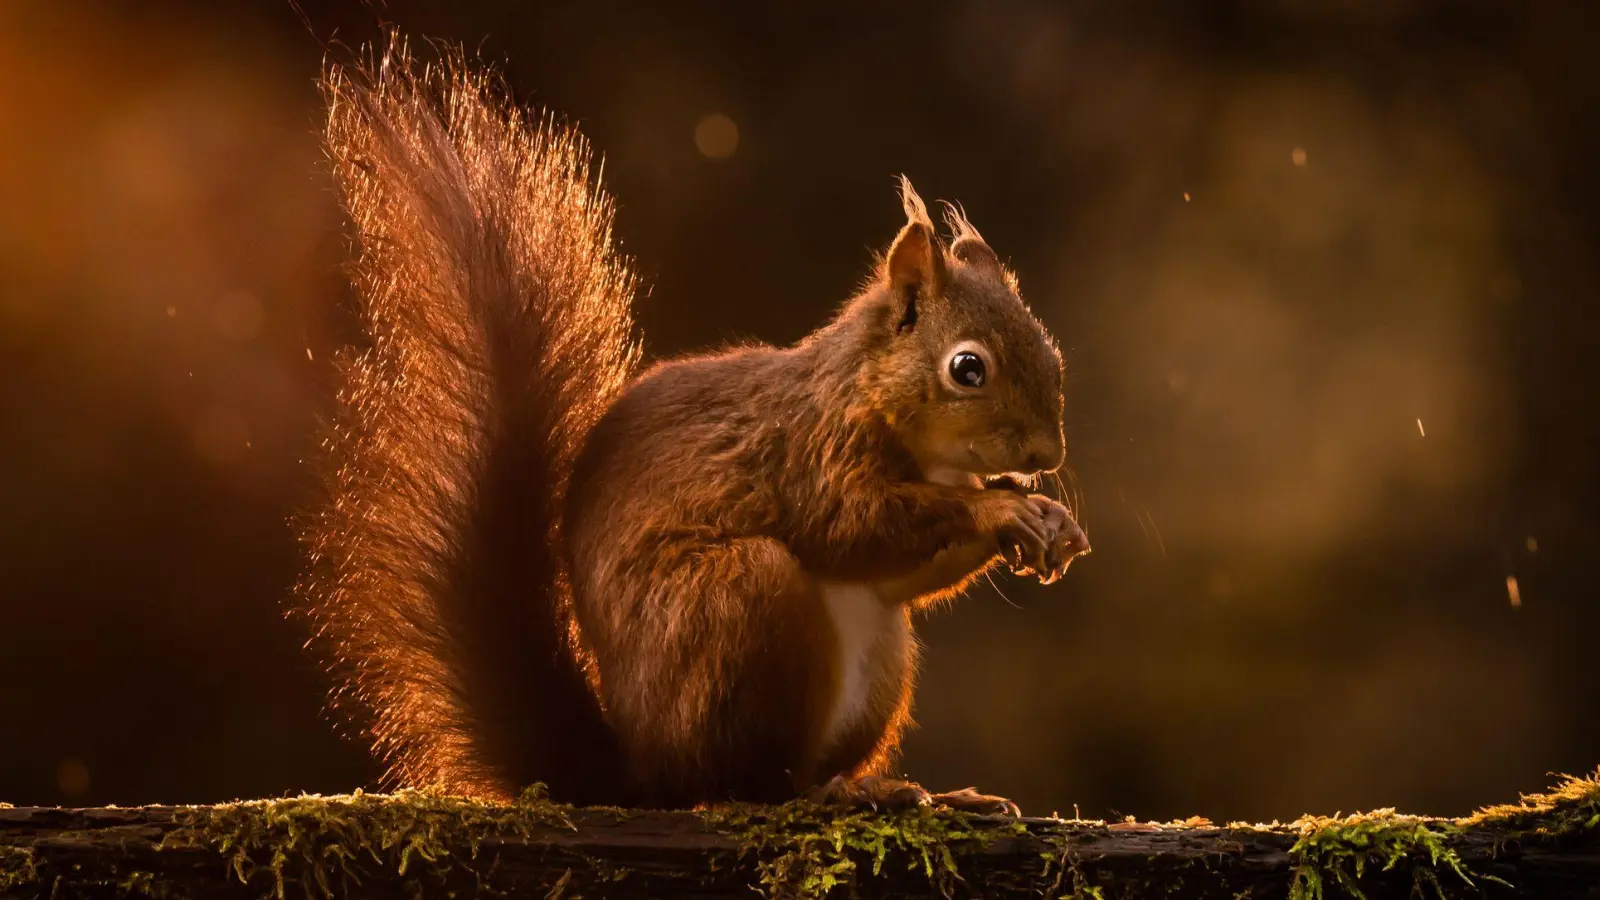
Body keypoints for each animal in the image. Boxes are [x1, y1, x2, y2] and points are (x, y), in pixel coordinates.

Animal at [299, 38, 1088, 813]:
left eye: (1054, 355)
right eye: (968, 368)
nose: (1047, 455)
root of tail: (642, 772)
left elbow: (902, 575)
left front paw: (1047, 518)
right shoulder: (812, 449)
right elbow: (850, 524)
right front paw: (1000, 508)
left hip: (875, 658)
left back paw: (919, 792)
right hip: (735, 605)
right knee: (746, 782)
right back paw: (837, 797)